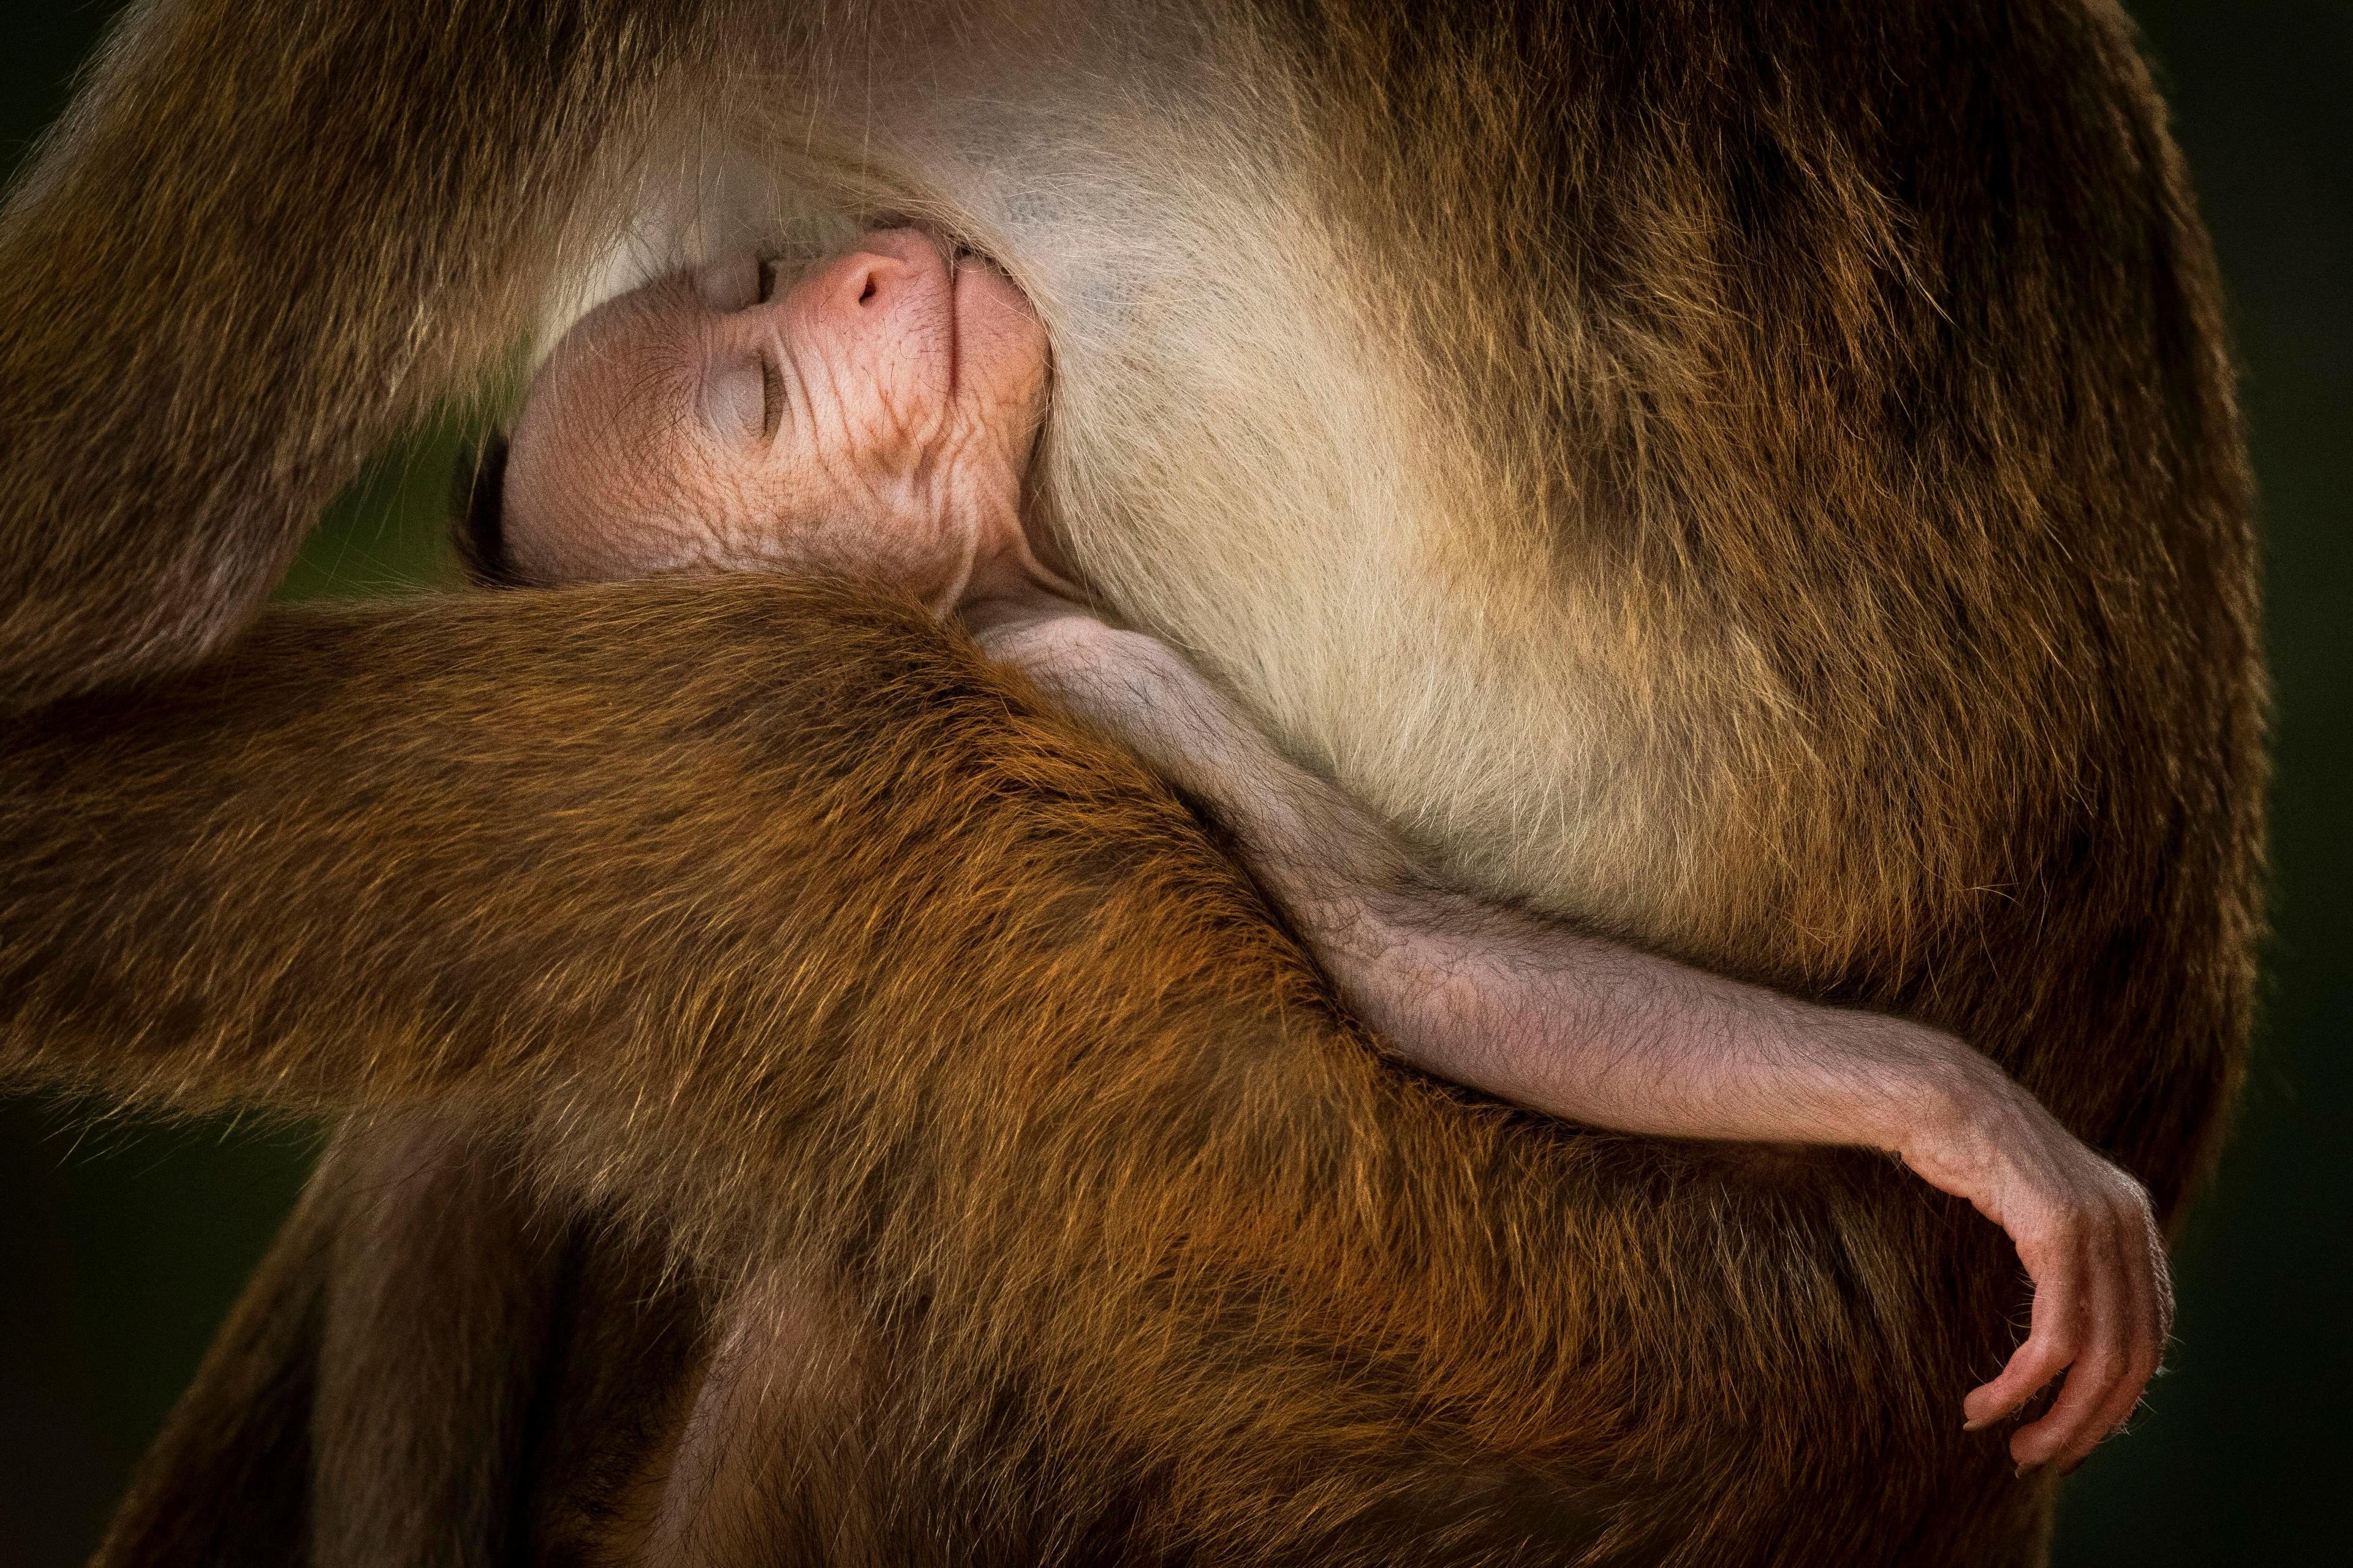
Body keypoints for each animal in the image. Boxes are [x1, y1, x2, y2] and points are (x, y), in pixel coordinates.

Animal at [444, 222, 2164, 1478]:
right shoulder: (1111, 671)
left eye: (755, 285)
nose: (860, 267)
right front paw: (1962, 1116)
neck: (982, 594)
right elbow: (1399, 962)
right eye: (761, 409)